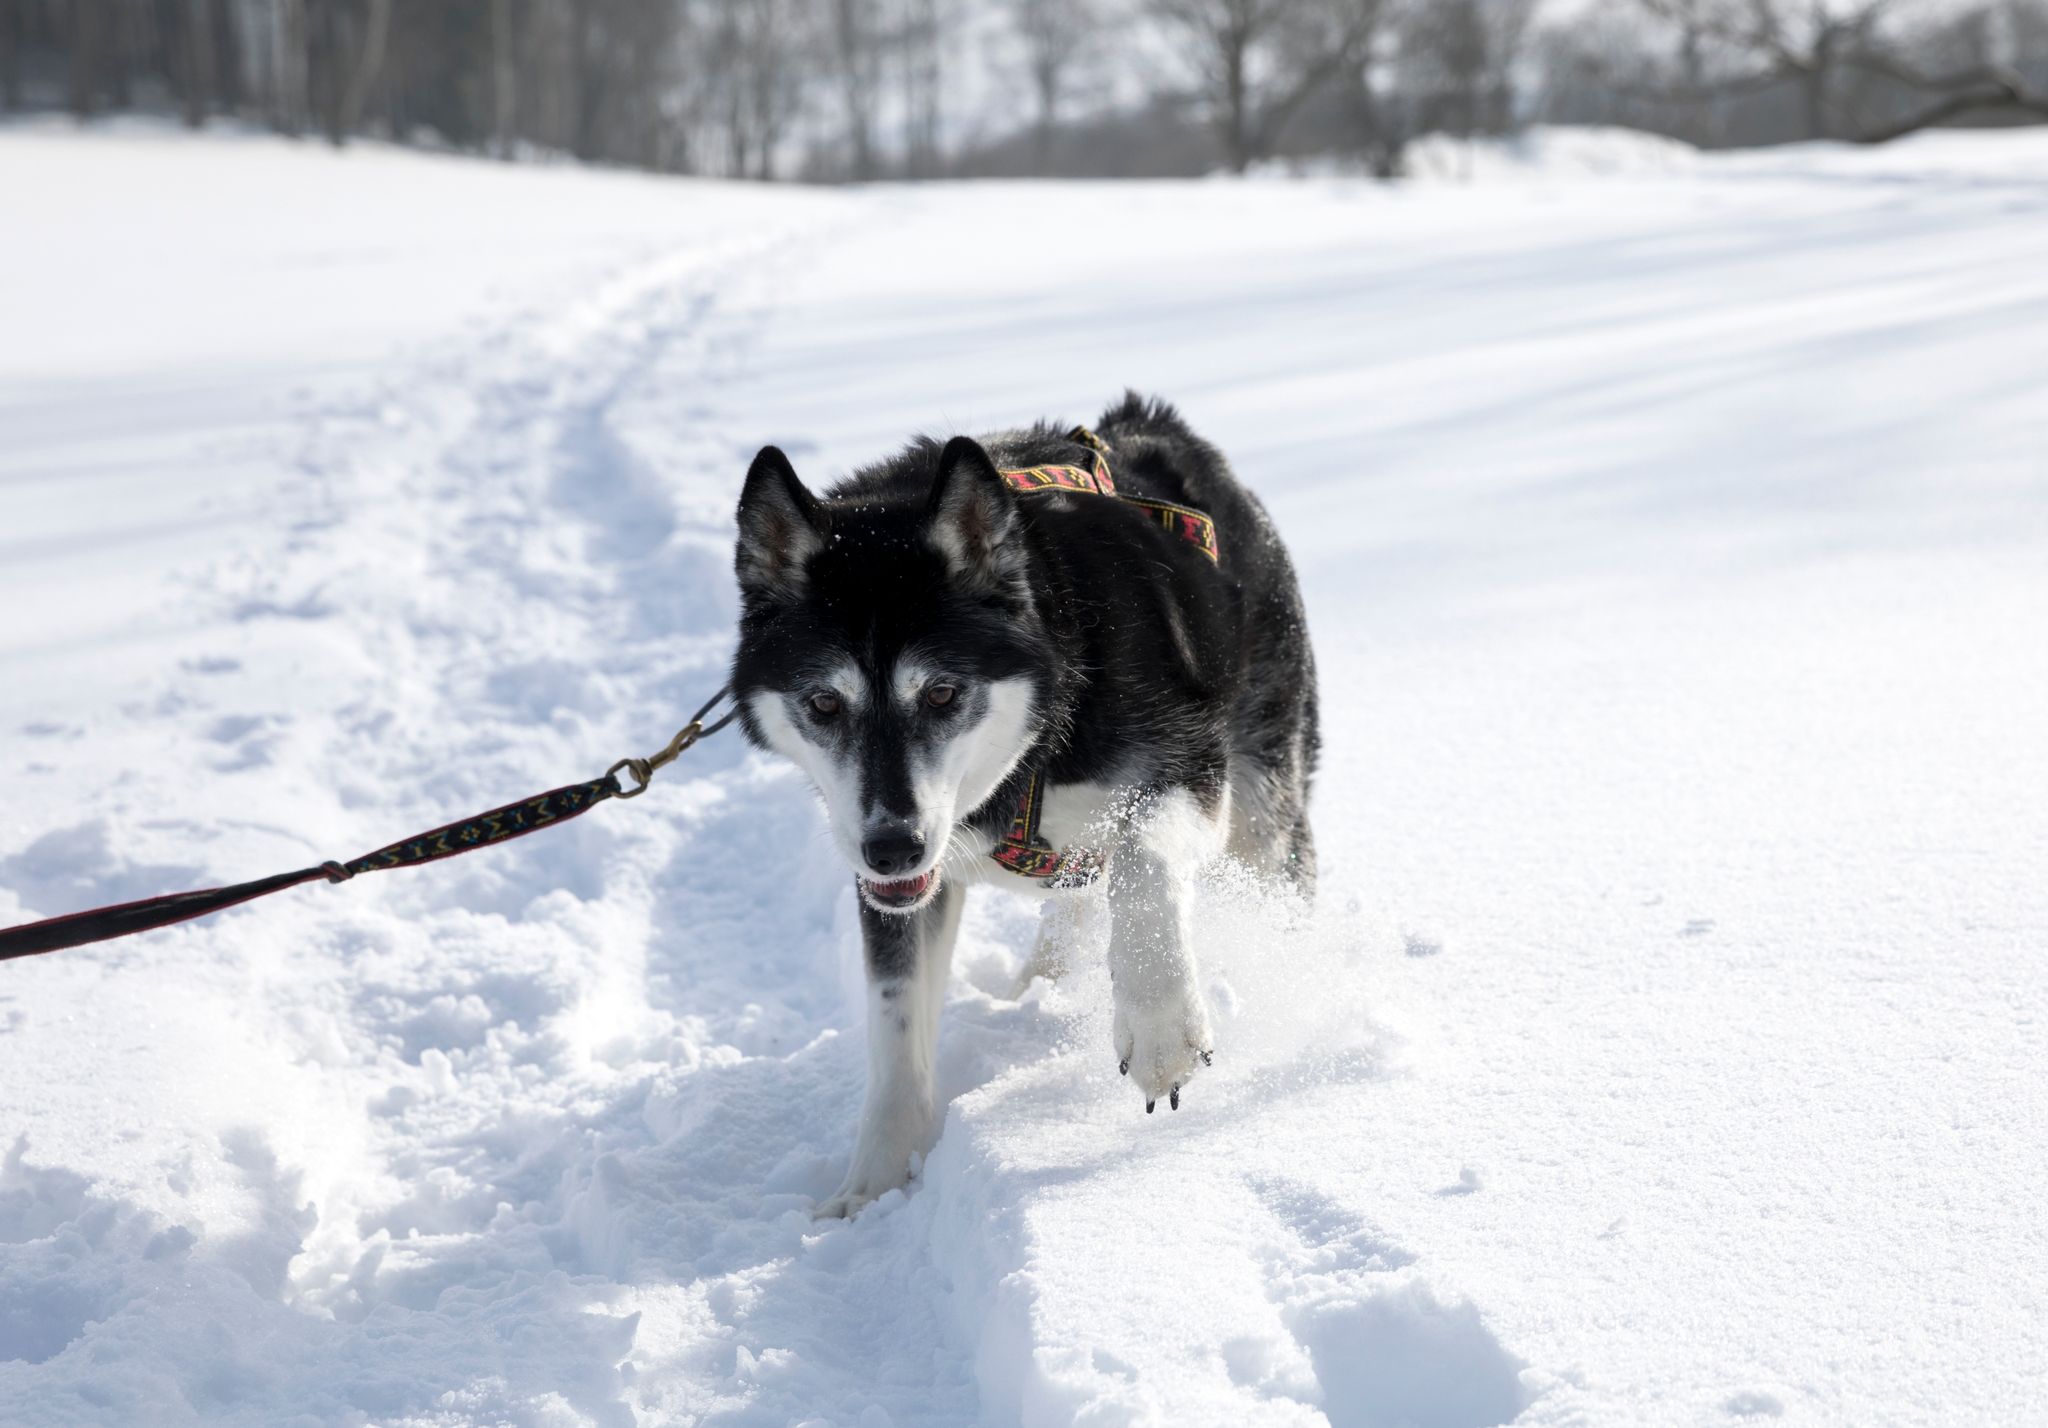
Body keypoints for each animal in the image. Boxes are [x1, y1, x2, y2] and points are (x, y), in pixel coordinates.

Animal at [729, 393, 1318, 1212]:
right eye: (822, 702)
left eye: (942, 693)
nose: (894, 847)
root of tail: (1155, 425)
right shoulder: (891, 876)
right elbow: (895, 1017)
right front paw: (875, 1186)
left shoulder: (1187, 771)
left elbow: (1143, 860)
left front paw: (1160, 1024)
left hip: (1264, 799)